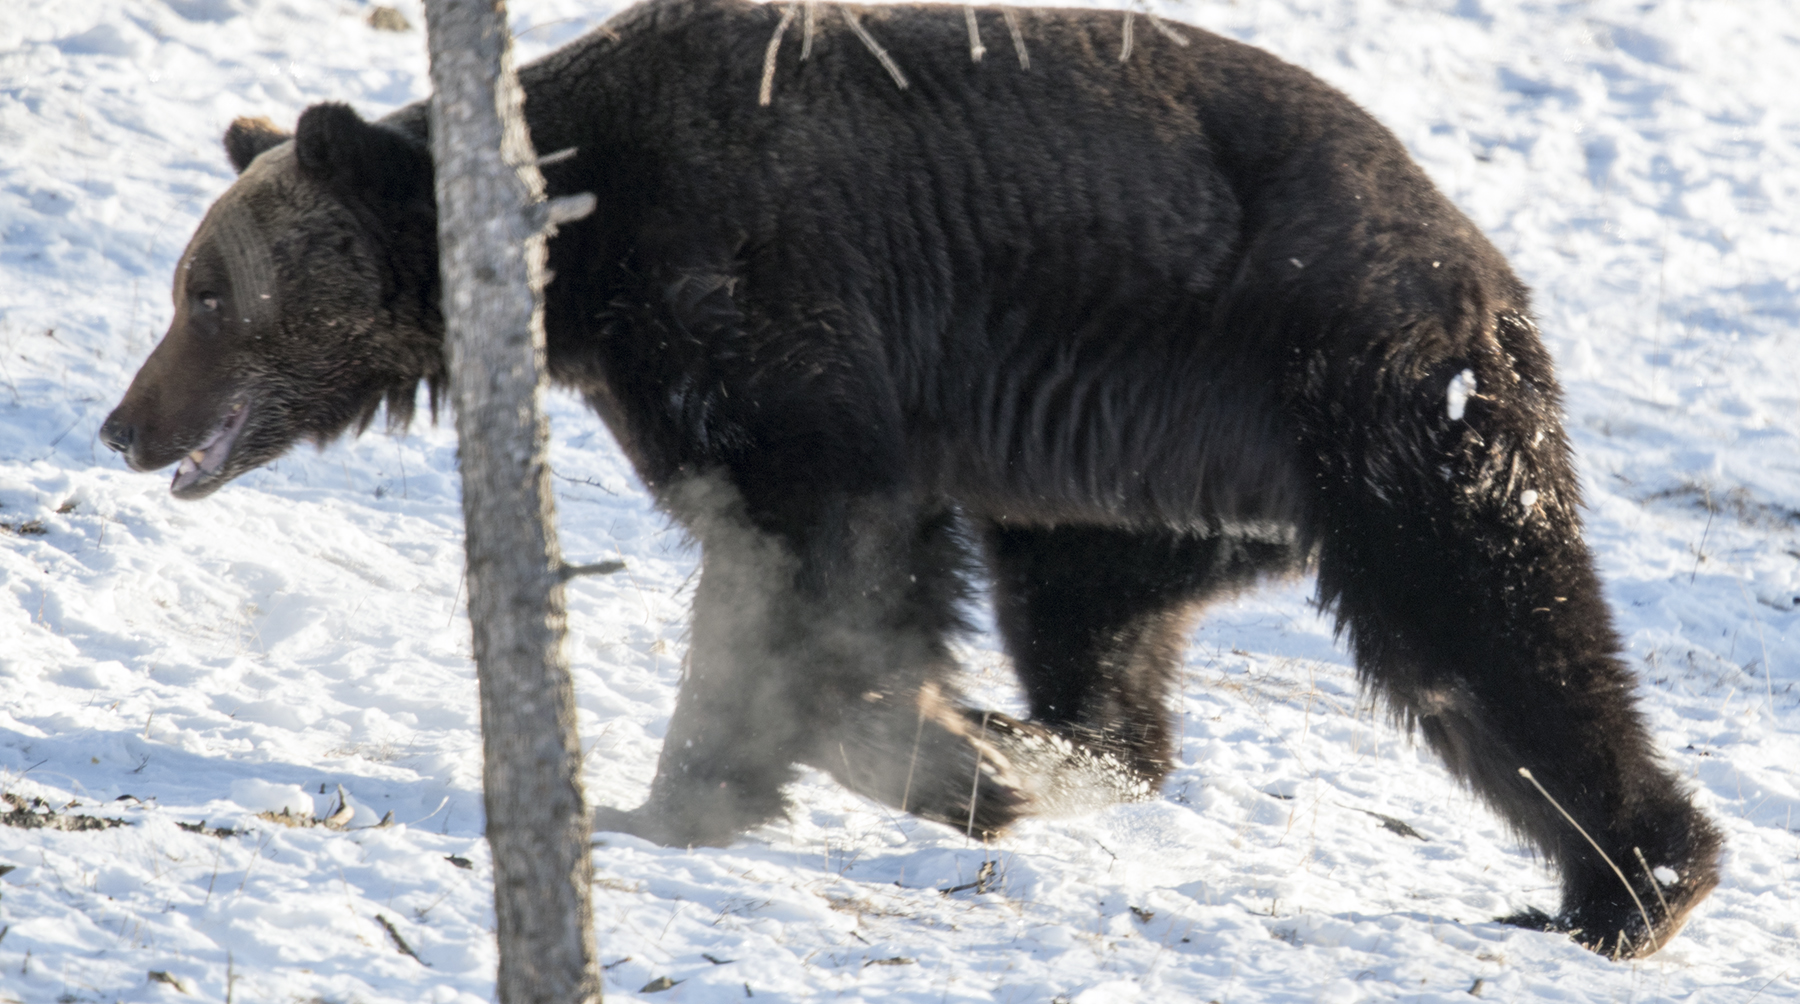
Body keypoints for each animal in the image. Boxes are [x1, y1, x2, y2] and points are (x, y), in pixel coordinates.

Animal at [102, 0, 1713, 964]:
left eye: (206, 293)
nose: (123, 422)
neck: (577, 246)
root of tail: (1487, 269)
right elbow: (795, 565)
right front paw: (809, 767)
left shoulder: (767, 296)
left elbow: (812, 550)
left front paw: (723, 783)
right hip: (1119, 482)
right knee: (1103, 644)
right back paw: (1038, 747)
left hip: (1350, 395)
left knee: (1484, 632)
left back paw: (1630, 885)